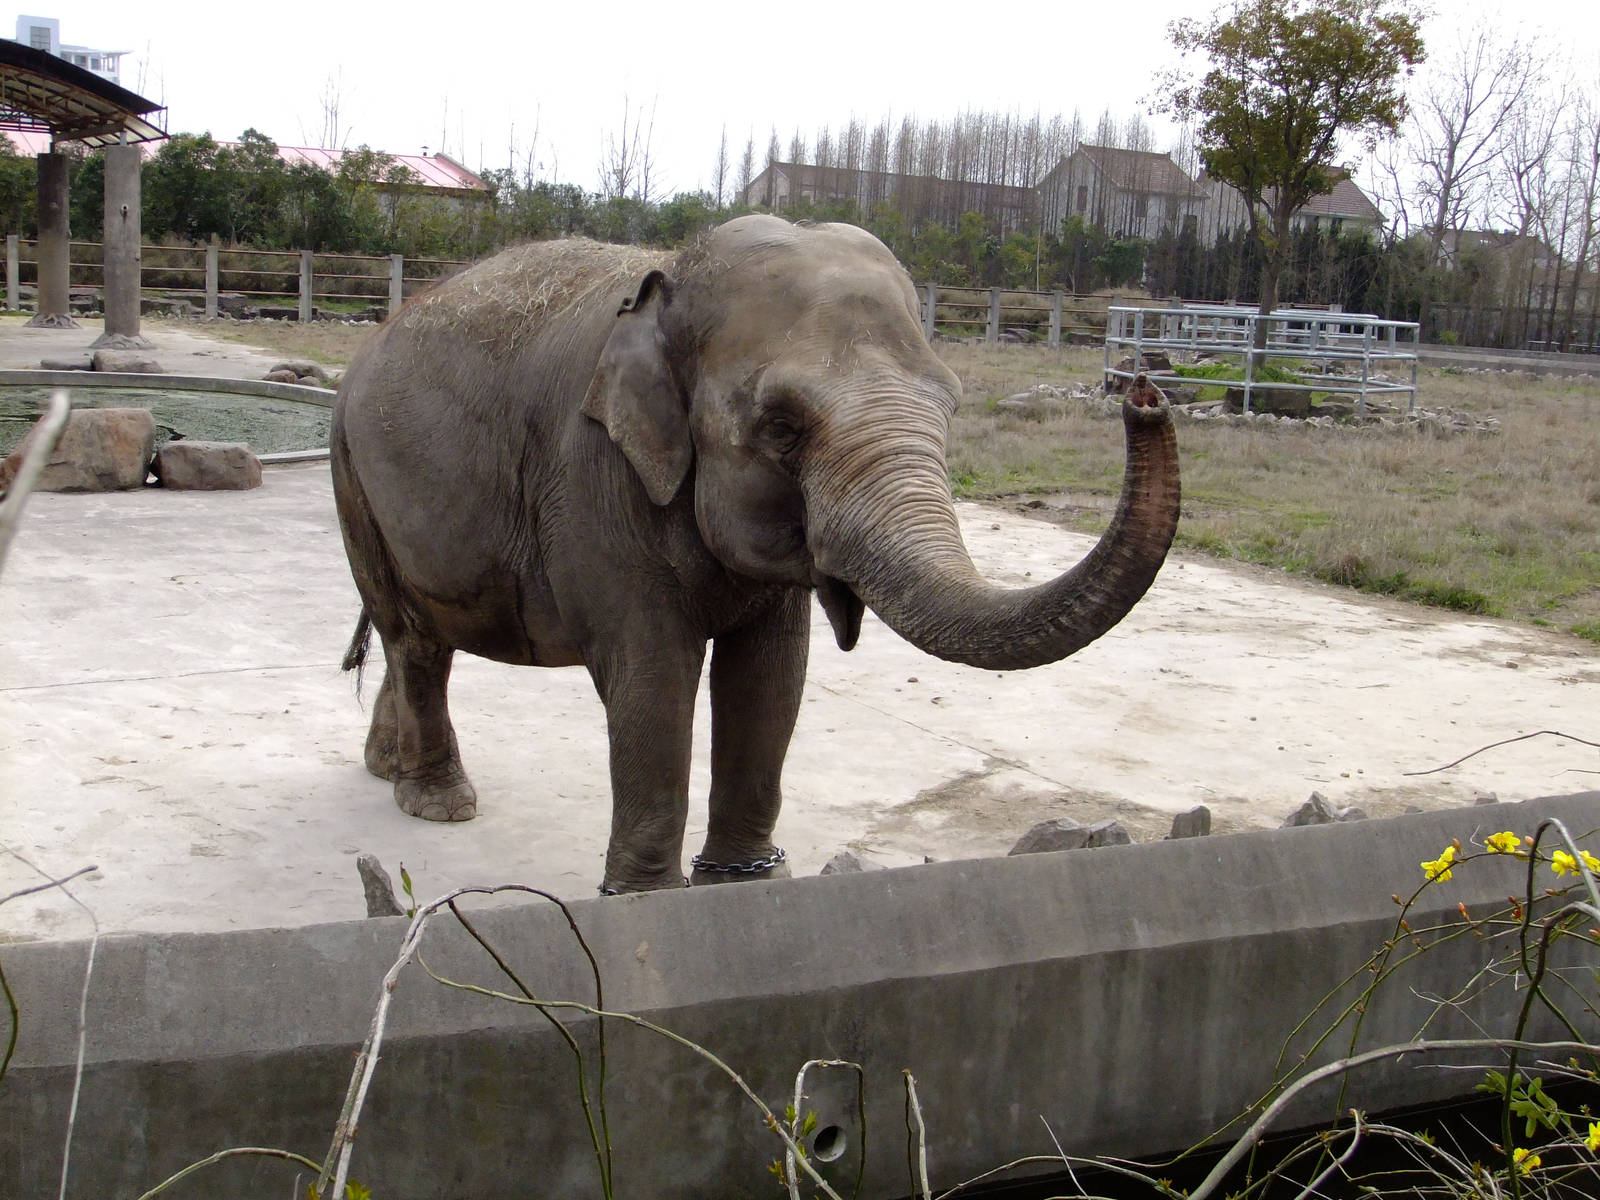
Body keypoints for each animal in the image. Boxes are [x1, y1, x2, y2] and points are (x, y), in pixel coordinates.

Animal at [330, 214, 1180, 894]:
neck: (671, 277)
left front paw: (740, 883)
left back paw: (387, 767)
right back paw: (439, 805)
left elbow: (771, 677)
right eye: (781, 427)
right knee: (411, 637)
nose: (1144, 393)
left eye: (949, 404)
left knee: (423, 635)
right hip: (353, 476)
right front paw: (644, 900)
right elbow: (654, 676)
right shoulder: (595, 478)